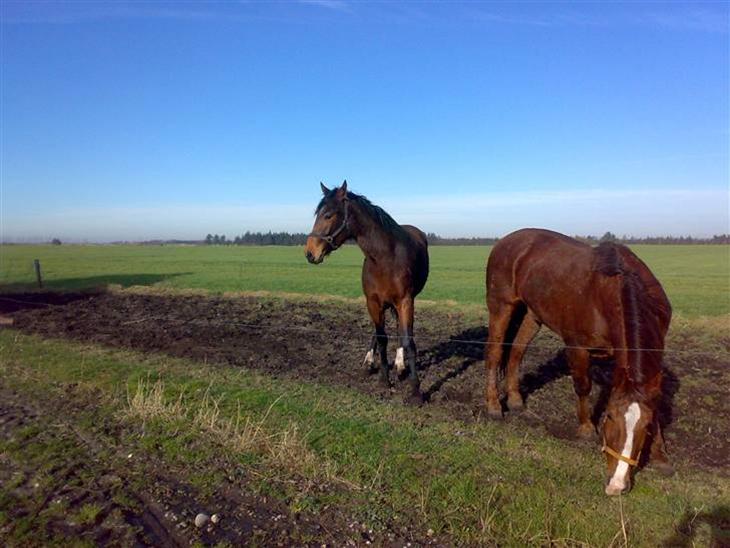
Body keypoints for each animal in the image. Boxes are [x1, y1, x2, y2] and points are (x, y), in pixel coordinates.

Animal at [305, 181, 429, 403]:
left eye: (328, 215)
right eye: (318, 214)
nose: (310, 253)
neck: (384, 257)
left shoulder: (406, 301)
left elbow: (408, 340)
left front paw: (415, 389)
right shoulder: (373, 301)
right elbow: (381, 338)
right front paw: (383, 379)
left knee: (400, 329)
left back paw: (400, 365)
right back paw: (371, 362)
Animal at [484, 228, 673, 495]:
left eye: (645, 427)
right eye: (609, 417)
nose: (616, 485)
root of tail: (506, 241)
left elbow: (655, 404)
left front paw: (660, 455)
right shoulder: (577, 347)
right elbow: (583, 387)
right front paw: (585, 429)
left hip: (533, 314)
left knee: (516, 353)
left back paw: (515, 400)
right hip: (502, 306)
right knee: (494, 353)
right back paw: (493, 405)